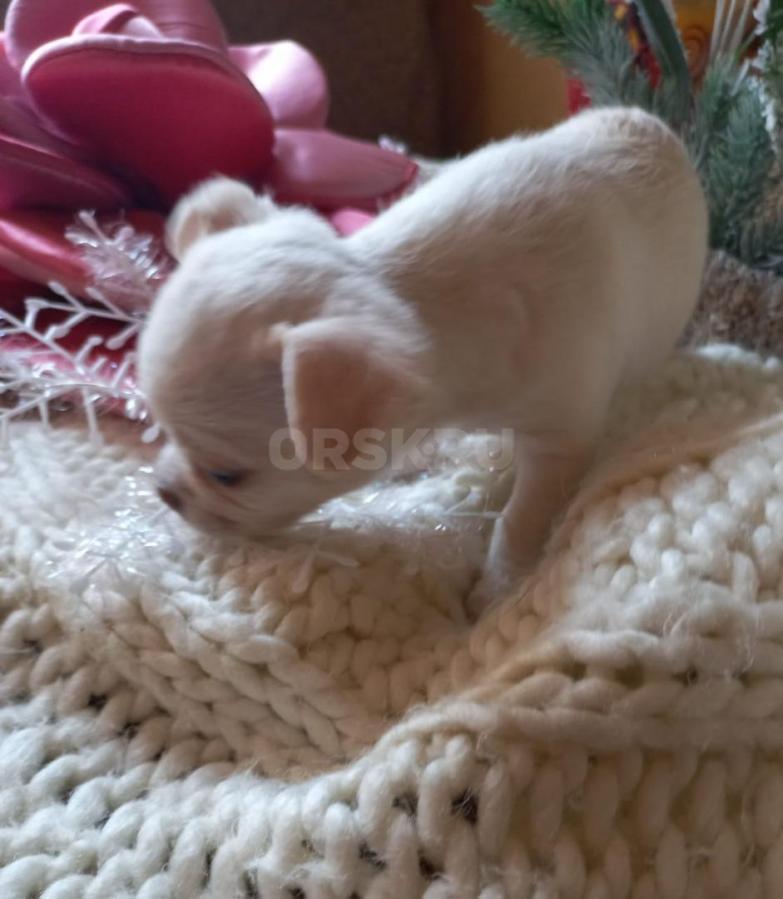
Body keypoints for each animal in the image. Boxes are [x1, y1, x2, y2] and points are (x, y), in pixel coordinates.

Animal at [138, 106, 708, 599]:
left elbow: (520, 519)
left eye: (226, 476)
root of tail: (654, 123)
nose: (163, 491)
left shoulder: (561, 439)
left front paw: (500, 588)